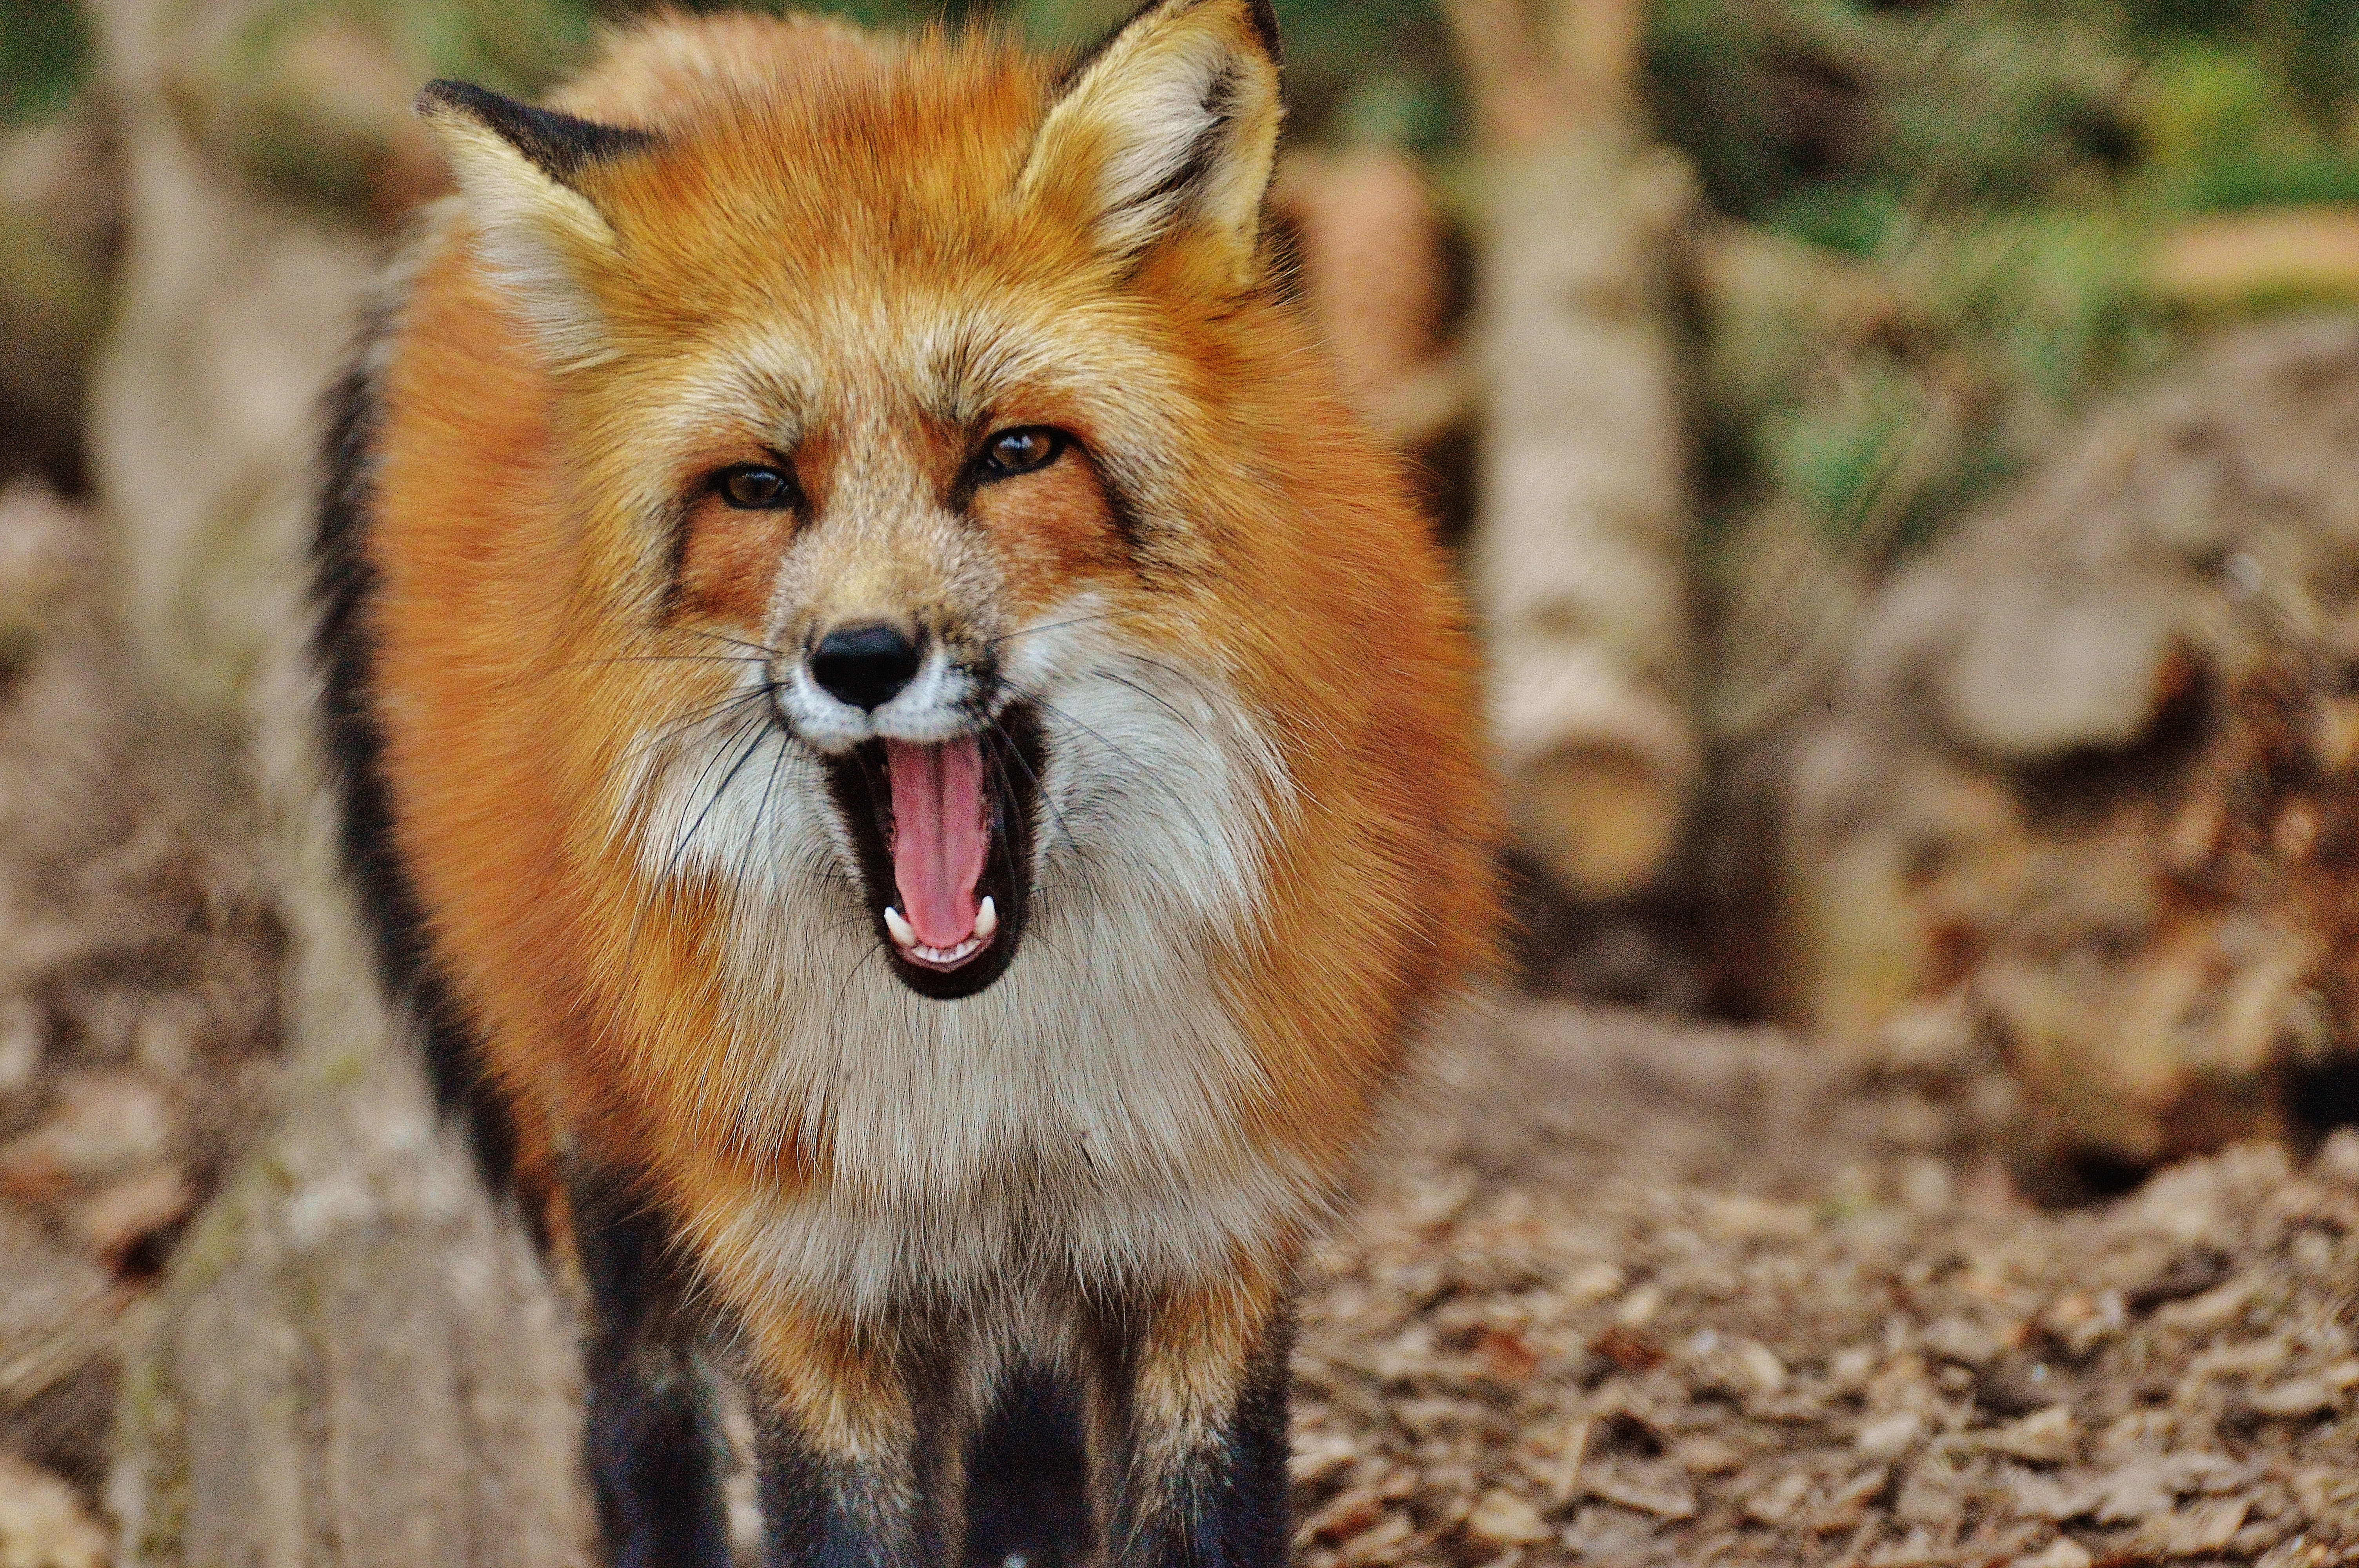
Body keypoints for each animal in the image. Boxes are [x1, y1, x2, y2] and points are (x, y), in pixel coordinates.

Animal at [312, 1, 1496, 1563]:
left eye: (1013, 453)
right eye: (758, 487)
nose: (863, 656)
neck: (990, 1090)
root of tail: (673, 47)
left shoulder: (1202, 1237)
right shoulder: (814, 1283)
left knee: (1020, 1442)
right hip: (607, 1163)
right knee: (636, 1426)